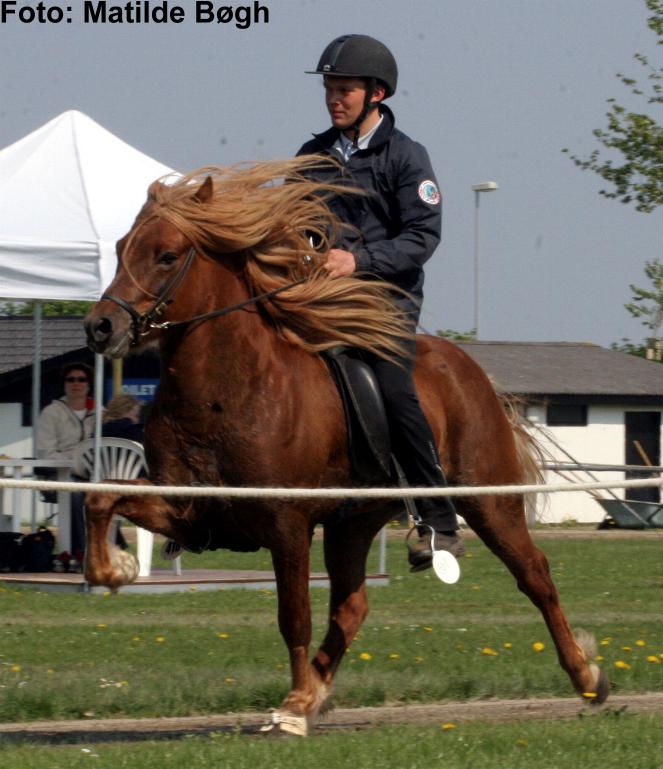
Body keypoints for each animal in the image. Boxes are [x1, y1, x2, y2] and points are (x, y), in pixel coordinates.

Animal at [85, 159, 608, 736]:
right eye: (120, 246)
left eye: (168, 255)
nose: (100, 326)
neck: (228, 389)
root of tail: (470, 368)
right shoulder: (189, 508)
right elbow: (100, 496)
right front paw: (114, 569)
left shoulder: (286, 523)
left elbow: (293, 615)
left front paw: (293, 706)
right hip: (351, 525)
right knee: (352, 608)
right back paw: (319, 689)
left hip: (488, 501)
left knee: (534, 574)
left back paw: (586, 676)